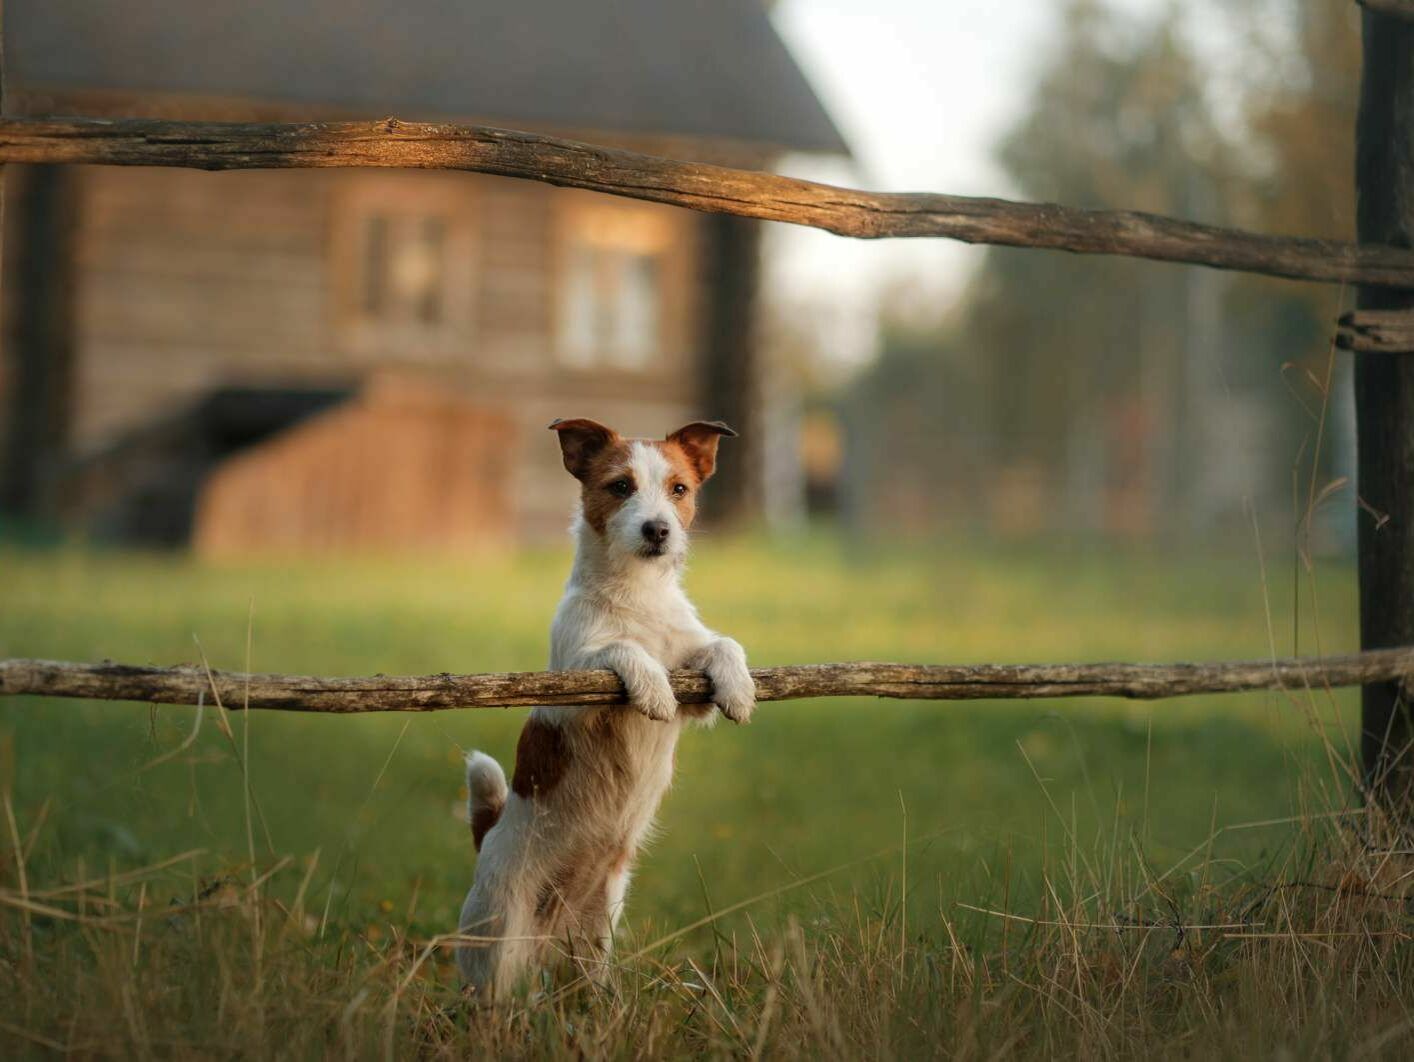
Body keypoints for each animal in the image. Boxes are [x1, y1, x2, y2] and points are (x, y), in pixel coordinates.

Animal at [458, 418, 757, 995]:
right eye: (620, 486)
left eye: (679, 489)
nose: (657, 530)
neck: (637, 596)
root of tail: (490, 837)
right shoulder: (573, 686)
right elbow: (622, 649)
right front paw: (651, 686)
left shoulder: (694, 686)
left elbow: (723, 645)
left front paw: (739, 687)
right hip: (500, 935)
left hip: (597, 929)